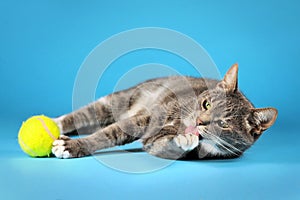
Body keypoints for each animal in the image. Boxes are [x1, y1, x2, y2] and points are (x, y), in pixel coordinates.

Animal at [52, 65, 278, 160]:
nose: (199, 121)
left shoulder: (156, 143)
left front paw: (184, 140)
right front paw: (74, 145)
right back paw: (54, 124)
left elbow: (160, 146)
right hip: (118, 101)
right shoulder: (147, 117)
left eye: (223, 123)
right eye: (206, 104)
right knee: (83, 115)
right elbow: (109, 134)